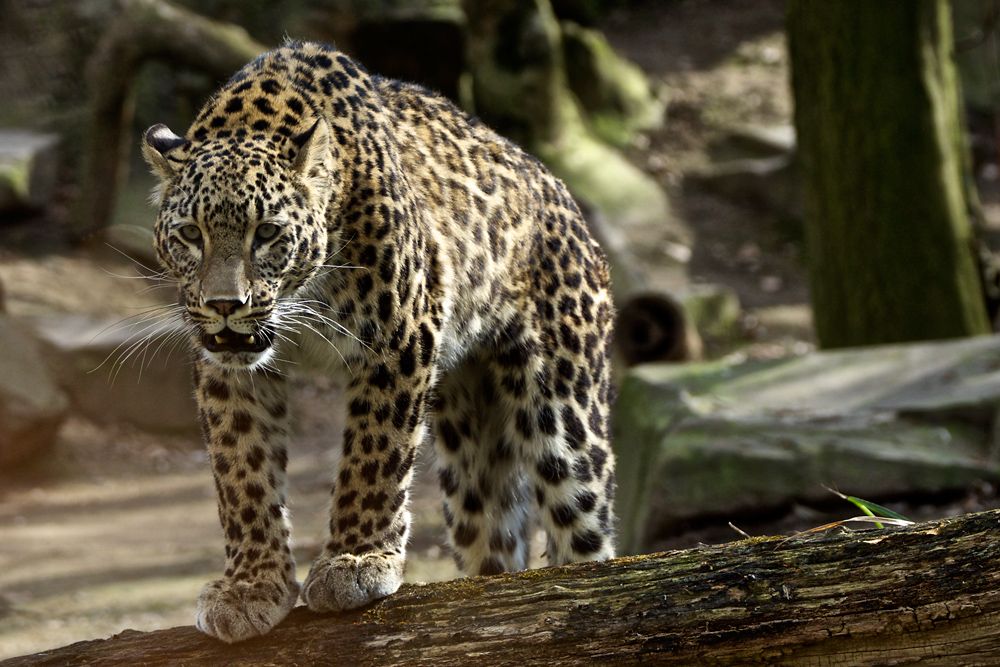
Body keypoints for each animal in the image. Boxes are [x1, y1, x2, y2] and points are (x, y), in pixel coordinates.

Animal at [142, 40, 617, 643]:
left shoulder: (400, 333)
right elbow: (241, 471)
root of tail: (566, 201)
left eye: (267, 233)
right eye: (190, 235)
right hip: (472, 447)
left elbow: (375, 453)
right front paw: (251, 586)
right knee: (491, 535)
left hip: (564, 420)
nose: (225, 304)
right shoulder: (225, 367)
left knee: (583, 528)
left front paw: (356, 561)